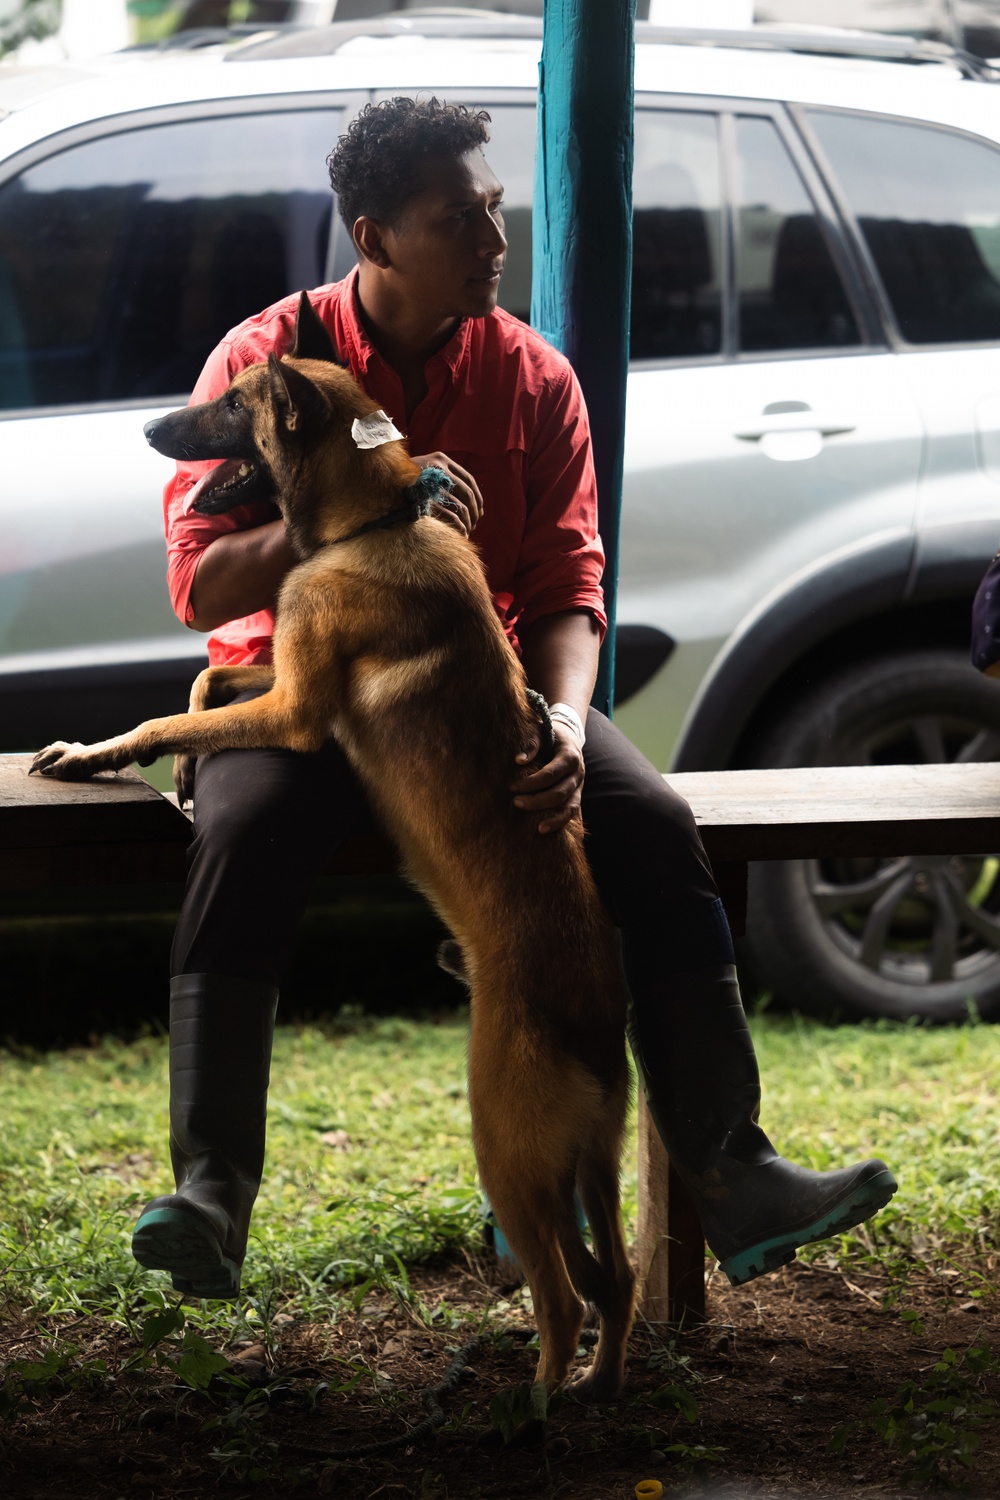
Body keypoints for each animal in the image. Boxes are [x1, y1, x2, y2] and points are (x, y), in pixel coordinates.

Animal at [37, 295, 641, 1404]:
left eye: (234, 403)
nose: (146, 430)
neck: (373, 524)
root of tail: (589, 1009)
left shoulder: (297, 710)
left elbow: (165, 715)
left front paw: (104, 751)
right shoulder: (280, 682)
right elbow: (203, 685)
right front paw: (179, 771)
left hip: (507, 1153)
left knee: (565, 1294)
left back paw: (538, 1403)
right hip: (588, 1166)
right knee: (611, 1280)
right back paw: (599, 1388)